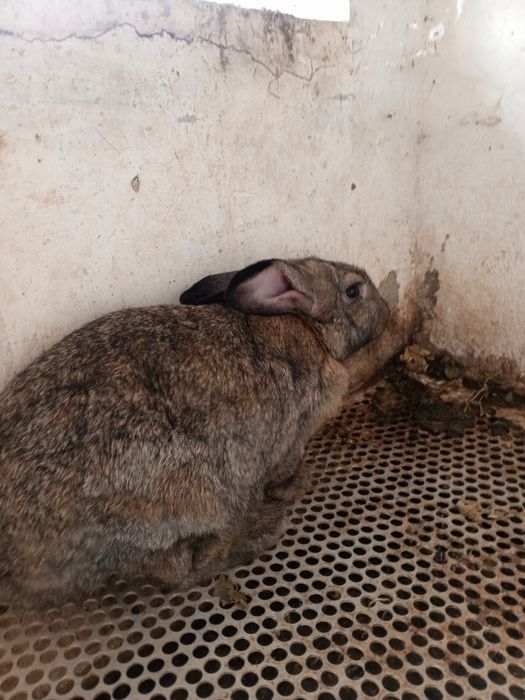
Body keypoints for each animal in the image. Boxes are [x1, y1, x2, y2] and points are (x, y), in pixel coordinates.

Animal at [0, 257, 389, 606]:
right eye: (354, 290)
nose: (386, 309)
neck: (311, 329)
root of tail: (17, 558)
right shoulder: (292, 437)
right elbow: (282, 472)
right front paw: (298, 484)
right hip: (184, 499)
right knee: (177, 571)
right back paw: (257, 535)